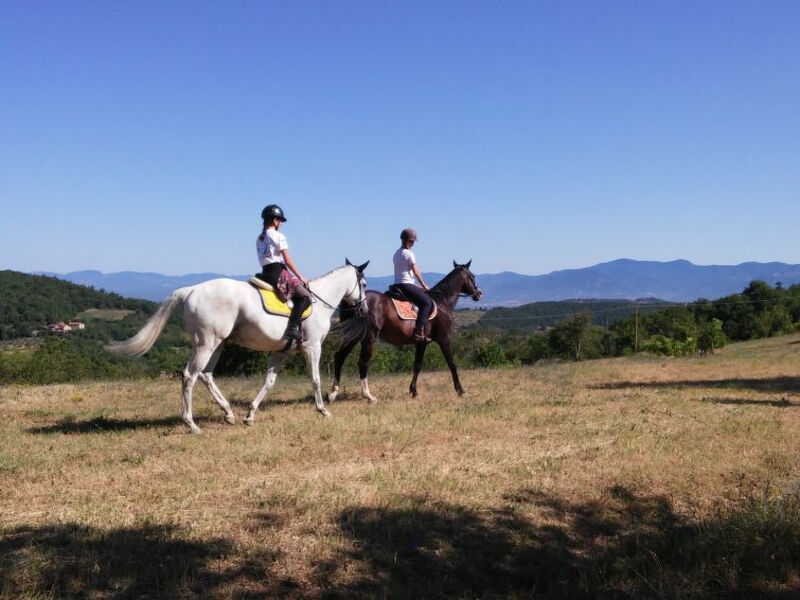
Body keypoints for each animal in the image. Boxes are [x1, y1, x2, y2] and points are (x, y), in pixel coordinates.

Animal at [106, 260, 368, 434]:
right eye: (364, 283)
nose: (363, 308)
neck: (319, 302)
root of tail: (190, 290)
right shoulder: (312, 347)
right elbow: (315, 379)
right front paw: (323, 409)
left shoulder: (280, 351)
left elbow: (269, 382)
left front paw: (250, 415)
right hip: (206, 343)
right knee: (190, 375)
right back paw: (192, 424)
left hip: (217, 344)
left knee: (206, 375)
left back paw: (228, 413)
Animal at [326, 258, 482, 404]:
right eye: (472, 276)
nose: (478, 293)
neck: (442, 301)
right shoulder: (444, 338)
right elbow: (451, 363)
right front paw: (461, 390)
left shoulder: (422, 342)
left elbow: (417, 365)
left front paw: (414, 391)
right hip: (369, 336)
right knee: (363, 362)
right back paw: (368, 396)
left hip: (354, 335)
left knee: (340, 357)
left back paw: (333, 393)